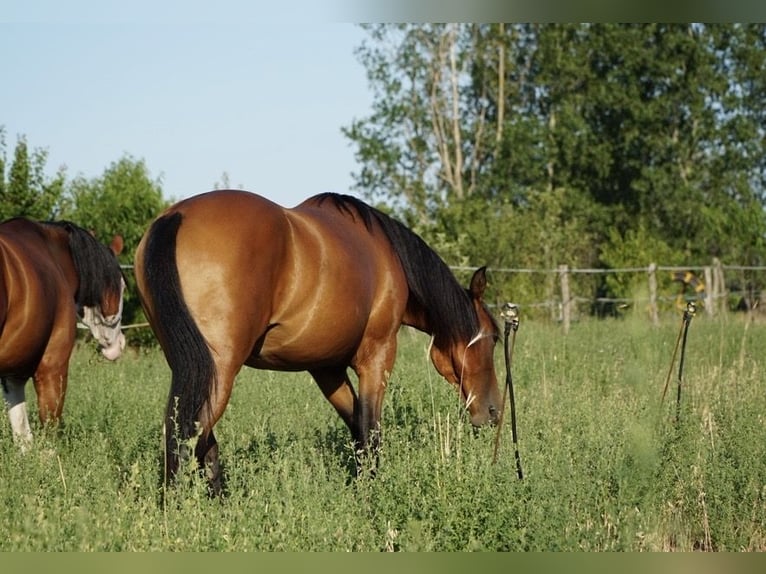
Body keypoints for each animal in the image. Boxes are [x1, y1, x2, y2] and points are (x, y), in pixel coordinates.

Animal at [0, 218, 126, 450]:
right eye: (121, 286)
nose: (119, 345)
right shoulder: (52, 366)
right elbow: (49, 430)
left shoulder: (14, 374)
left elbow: (23, 435)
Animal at [134, 189, 501, 493]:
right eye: (494, 338)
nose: (494, 411)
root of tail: (175, 217)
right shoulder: (377, 356)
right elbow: (370, 429)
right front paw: (371, 494)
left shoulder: (326, 368)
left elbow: (356, 427)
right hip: (219, 370)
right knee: (187, 438)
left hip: (195, 369)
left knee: (199, 442)